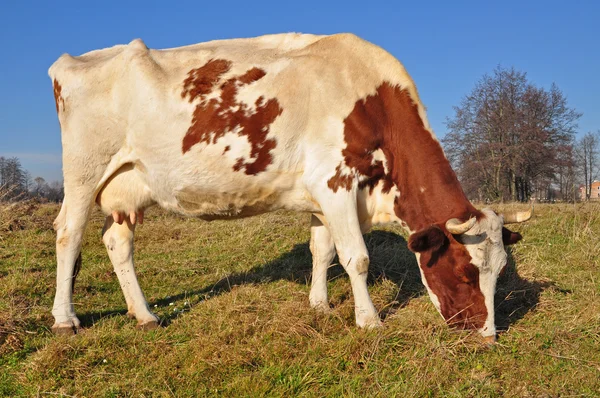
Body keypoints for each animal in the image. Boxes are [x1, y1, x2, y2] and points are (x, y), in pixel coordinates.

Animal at [50, 32, 528, 342]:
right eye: (466, 271)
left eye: (501, 270)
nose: (487, 336)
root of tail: (74, 59)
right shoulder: (335, 182)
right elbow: (356, 258)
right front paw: (369, 320)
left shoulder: (320, 196)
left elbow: (323, 251)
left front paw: (319, 305)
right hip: (84, 171)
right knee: (68, 234)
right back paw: (65, 320)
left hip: (127, 186)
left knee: (117, 242)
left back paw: (145, 315)